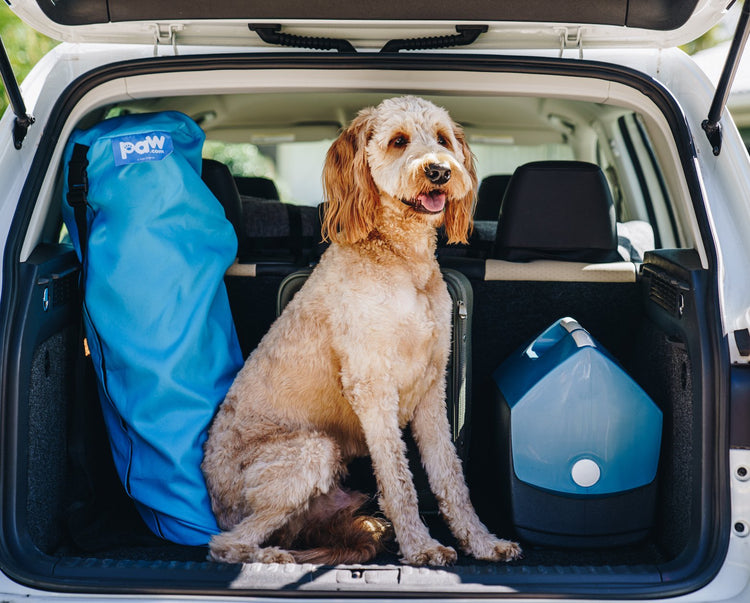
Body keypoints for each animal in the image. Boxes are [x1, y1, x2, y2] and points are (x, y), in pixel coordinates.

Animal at [204, 94, 524, 568]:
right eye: (398, 141)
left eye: (443, 139)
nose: (440, 171)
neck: (402, 259)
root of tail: (214, 497)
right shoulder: (372, 386)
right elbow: (398, 479)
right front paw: (421, 547)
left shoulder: (432, 388)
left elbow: (450, 478)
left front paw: (482, 542)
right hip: (311, 451)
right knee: (225, 543)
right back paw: (273, 556)